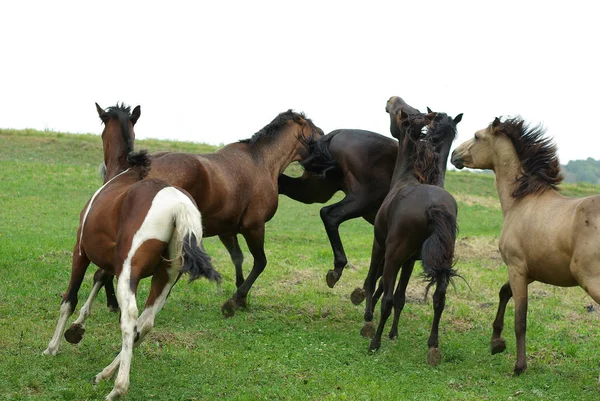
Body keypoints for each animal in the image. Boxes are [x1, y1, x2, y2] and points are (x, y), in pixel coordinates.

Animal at [42, 104, 220, 400]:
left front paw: (53, 346)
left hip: (129, 274)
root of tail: (178, 205)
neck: (123, 174)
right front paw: (77, 329)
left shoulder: (81, 253)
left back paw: (117, 387)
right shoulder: (110, 261)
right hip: (165, 277)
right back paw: (104, 373)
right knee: (145, 323)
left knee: (131, 318)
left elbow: (69, 300)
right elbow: (99, 280)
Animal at [278, 96, 462, 288]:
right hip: (363, 198)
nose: (392, 99)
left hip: (315, 191)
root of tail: (338, 132)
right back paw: (338, 268)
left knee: (283, 185)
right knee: (330, 214)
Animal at [450, 116, 600, 378]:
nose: (454, 155)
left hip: (591, 280)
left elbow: (520, 319)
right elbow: (503, 293)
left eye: (477, 136)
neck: (522, 199)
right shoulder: (530, 271)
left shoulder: (517, 268)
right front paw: (496, 343)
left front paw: (519, 366)